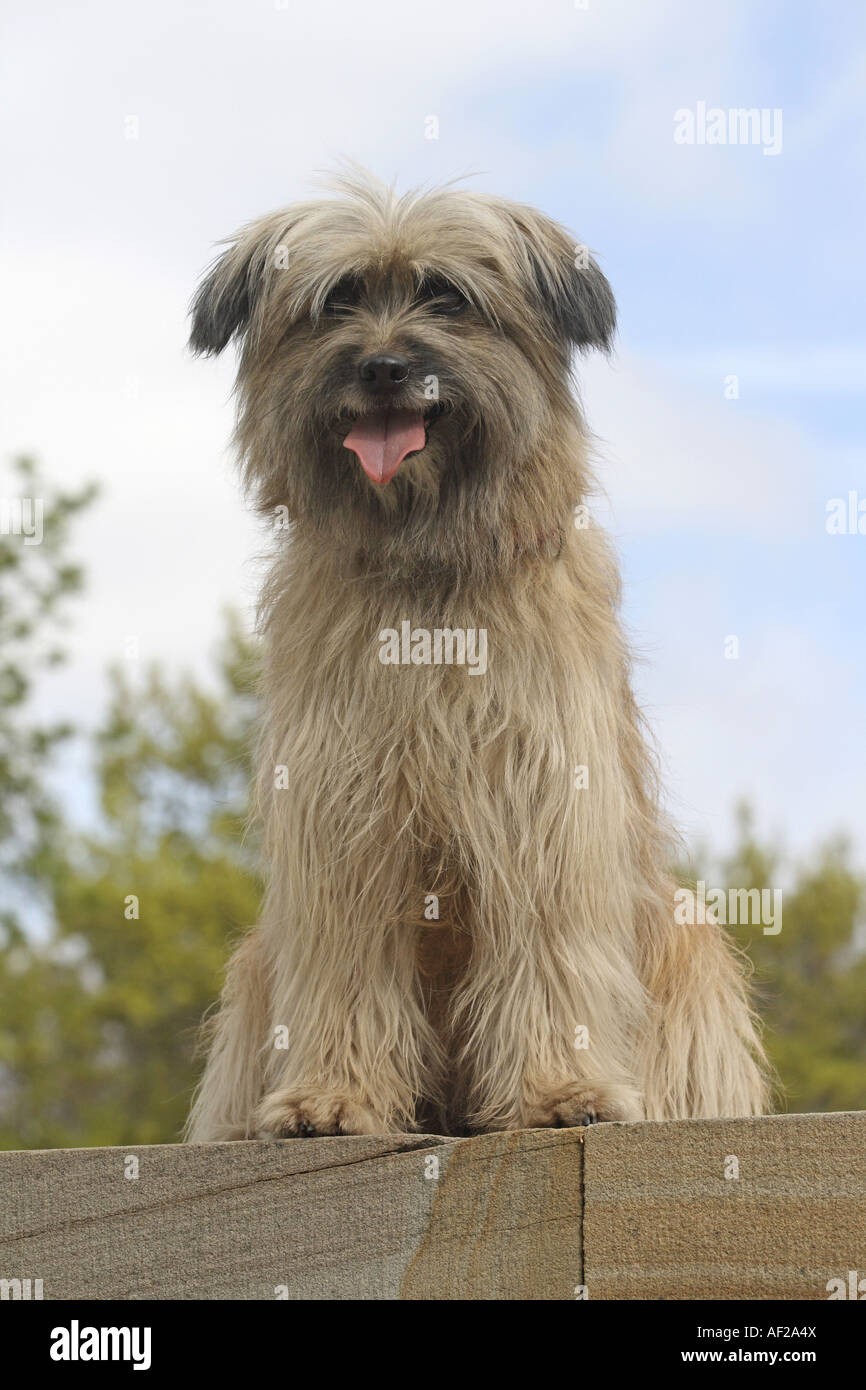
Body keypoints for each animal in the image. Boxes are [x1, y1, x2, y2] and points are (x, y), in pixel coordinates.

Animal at [186, 170, 767, 1139]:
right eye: (338, 299)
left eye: (448, 297)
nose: (383, 368)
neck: (427, 577)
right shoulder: (341, 819)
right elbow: (345, 966)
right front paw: (333, 1096)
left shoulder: (543, 805)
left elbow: (549, 951)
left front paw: (560, 1090)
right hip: (260, 963)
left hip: (685, 943)